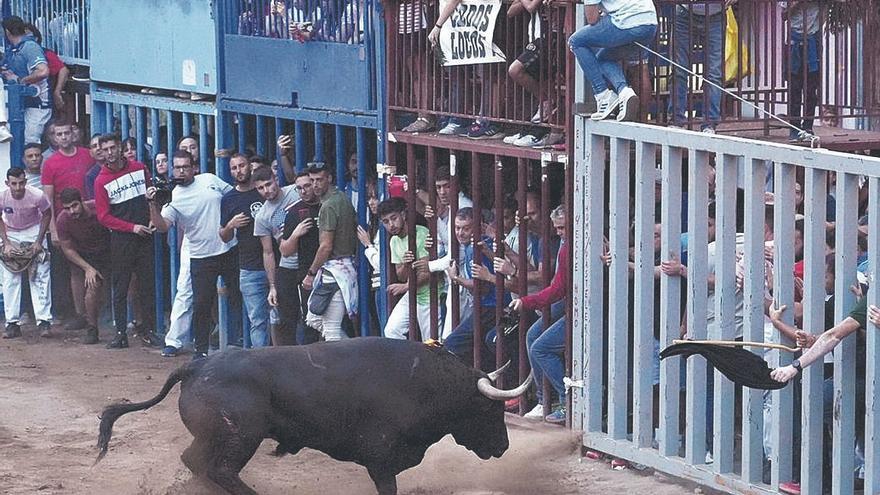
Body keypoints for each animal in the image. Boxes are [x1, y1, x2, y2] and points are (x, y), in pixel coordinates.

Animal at [97, 340, 536, 494]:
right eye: (490, 408)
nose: (503, 446)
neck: (426, 382)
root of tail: (195, 366)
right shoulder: (381, 458)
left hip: (216, 437)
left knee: (195, 462)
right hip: (241, 436)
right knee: (220, 469)